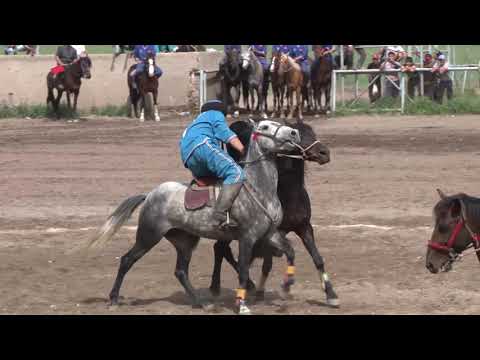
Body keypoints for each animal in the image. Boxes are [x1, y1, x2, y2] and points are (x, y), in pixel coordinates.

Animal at [86, 120, 300, 316]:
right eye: (264, 127)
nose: (294, 132)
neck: (259, 189)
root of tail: (150, 195)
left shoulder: (270, 234)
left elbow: (290, 252)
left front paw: (287, 286)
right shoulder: (247, 238)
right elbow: (243, 270)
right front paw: (242, 305)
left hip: (185, 242)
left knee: (180, 271)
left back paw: (202, 303)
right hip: (148, 236)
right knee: (127, 260)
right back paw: (114, 299)